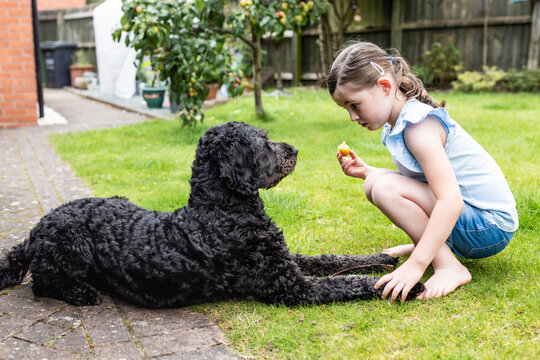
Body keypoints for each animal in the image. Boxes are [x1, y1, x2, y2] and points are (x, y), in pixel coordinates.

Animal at [0, 121, 422, 306]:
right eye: (260, 143)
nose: (295, 150)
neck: (219, 210)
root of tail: (36, 229)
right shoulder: (291, 286)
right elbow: (346, 282)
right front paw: (404, 284)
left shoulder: (288, 259)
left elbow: (334, 260)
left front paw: (381, 258)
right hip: (72, 245)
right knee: (43, 284)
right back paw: (82, 293)